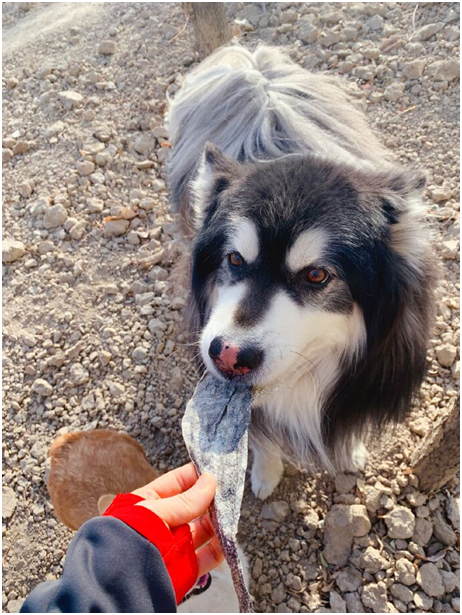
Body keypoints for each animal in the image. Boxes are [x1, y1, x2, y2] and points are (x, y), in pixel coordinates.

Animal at [167, 47, 436, 500]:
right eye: (234, 259)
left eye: (316, 276)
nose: (229, 355)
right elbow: (261, 437)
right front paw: (265, 474)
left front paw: (350, 453)